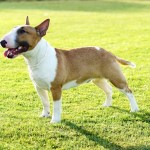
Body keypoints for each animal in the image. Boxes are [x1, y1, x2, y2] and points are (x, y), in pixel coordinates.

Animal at [0, 17, 138, 123]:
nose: (2, 42)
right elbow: (45, 102)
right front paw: (45, 114)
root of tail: (109, 53)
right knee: (109, 90)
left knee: (129, 91)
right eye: (13, 29)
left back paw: (135, 109)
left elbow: (56, 106)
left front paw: (55, 120)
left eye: (22, 31)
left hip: (115, 78)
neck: (38, 58)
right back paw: (107, 104)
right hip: (97, 79)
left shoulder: (56, 88)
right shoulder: (38, 87)